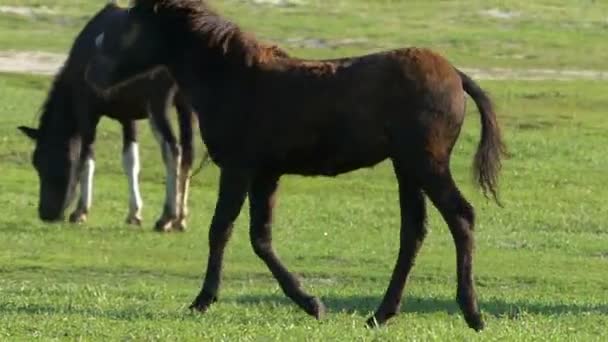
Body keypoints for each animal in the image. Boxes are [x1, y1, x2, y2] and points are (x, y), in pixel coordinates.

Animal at [17, 0, 197, 232]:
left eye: (47, 160)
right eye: (36, 162)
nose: (46, 213)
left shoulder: (87, 112)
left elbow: (87, 158)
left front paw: (80, 211)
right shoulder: (128, 117)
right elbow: (131, 161)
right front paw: (134, 213)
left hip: (159, 105)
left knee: (172, 149)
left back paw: (167, 216)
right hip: (186, 107)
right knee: (188, 153)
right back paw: (181, 218)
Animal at [85, 0, 506, 332]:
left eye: (132, 23)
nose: (94, 75)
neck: (234, 77)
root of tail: (456, 75)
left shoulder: (238, 169)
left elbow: (221, 230)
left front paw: (203, 300)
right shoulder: (266, 175)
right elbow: (260, 237)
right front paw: (312, 303)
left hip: (426, 164)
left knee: (461, 217)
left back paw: (472, 314)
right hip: (407, 169)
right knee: (414, 232)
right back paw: (381, 314)